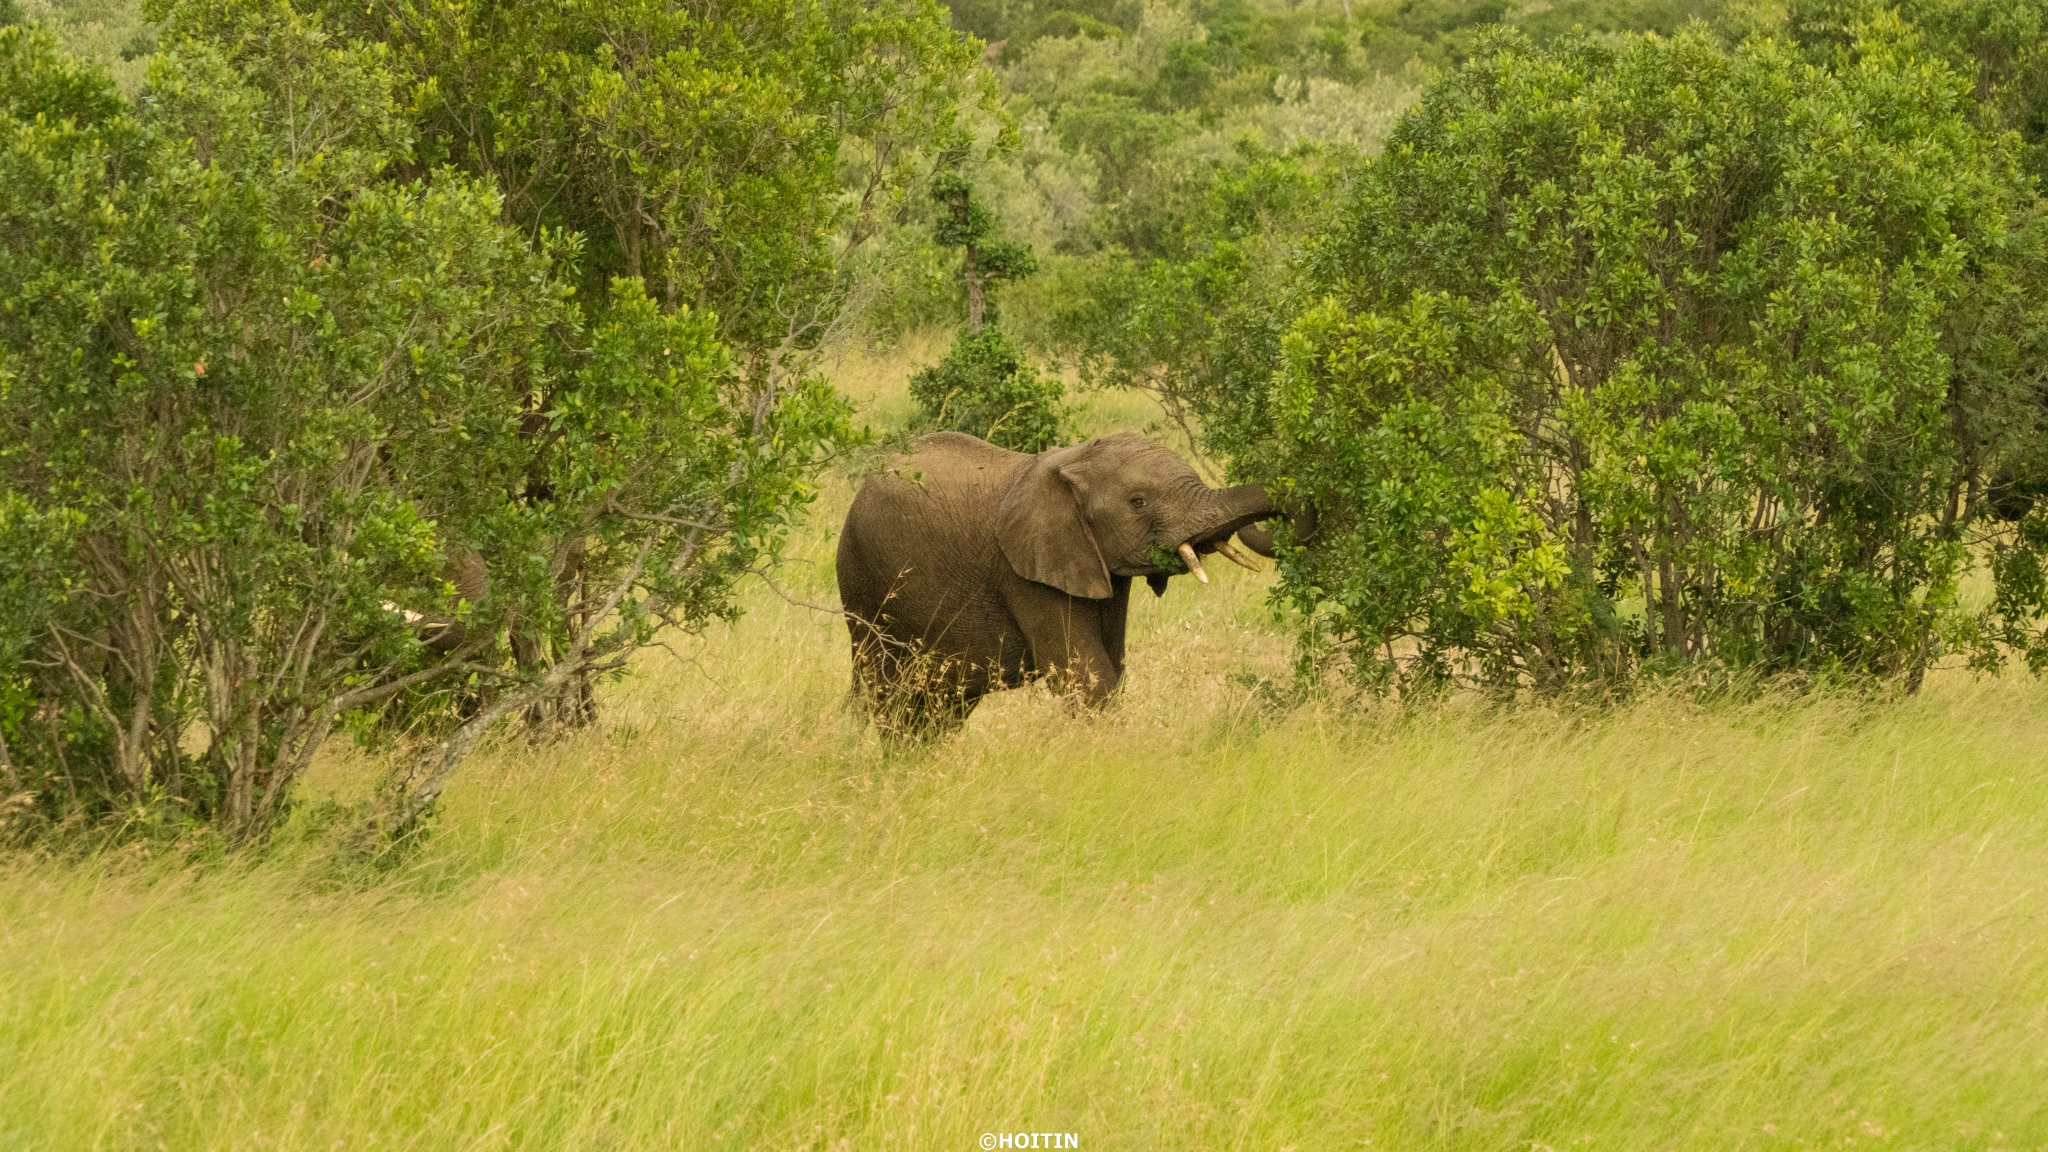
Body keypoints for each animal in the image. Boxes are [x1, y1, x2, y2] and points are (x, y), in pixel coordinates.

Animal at [831, 430, 1310, 733]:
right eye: (1138, 502)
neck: (1073, 461)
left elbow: (1111, 664)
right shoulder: (1024, 572)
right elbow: (1086, 675)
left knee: (938, 707)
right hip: (863, 584)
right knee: (886, 693)